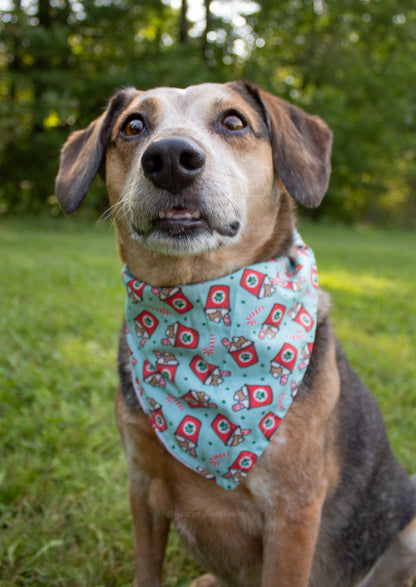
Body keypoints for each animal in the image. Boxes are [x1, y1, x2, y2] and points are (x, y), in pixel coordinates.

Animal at [54, 82, 416, 587]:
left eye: (233, 121)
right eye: (133, 126)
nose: (170, 157)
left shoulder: (293, 513)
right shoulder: (142, 486)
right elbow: (147, 568)